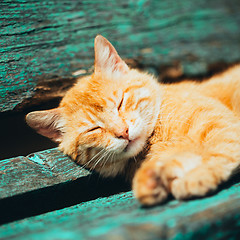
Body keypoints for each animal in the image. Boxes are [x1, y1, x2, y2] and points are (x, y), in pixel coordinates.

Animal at [26, 34, 240, 205]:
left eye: (120, 103)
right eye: (94, 129)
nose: (123, 132)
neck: (155, 139)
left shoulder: (221, 126)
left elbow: (220, 150)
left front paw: (200, 175)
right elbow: (179, 158)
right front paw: (153, 178)